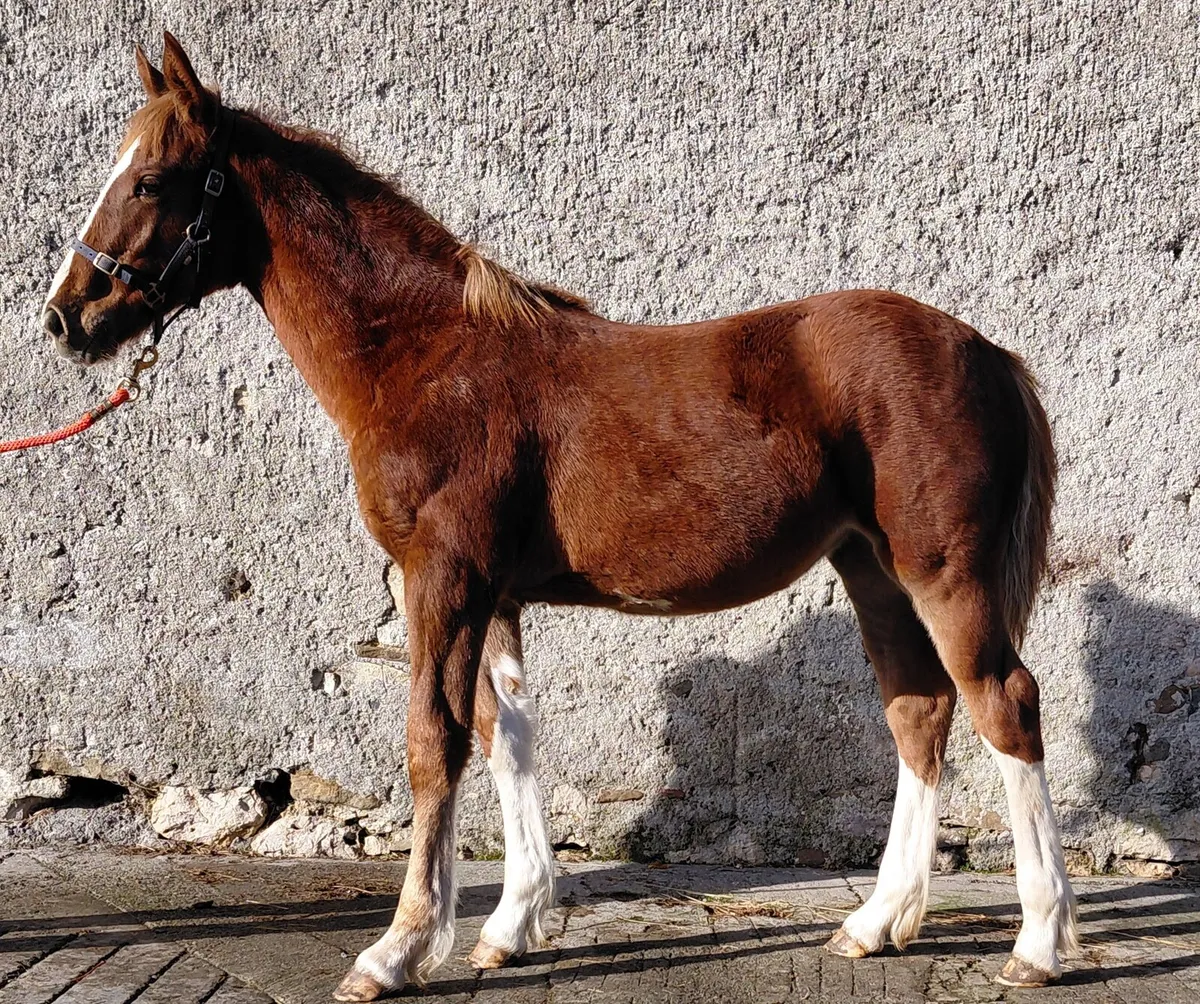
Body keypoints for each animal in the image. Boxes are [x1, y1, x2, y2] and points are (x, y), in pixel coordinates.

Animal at [40, 33, 1078, 1001]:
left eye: (150, 179)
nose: (65, 319)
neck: (427, 354)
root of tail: (987, 351)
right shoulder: (493, 595)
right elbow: (506, 741)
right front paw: (508, 928)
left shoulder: (442, 580)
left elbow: (433, 747)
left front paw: (396, 950)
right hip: (872, 569)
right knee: (920, 711)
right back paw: (875, 923)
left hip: (946, 574)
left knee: (1005, 704)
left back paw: (1037, 944)